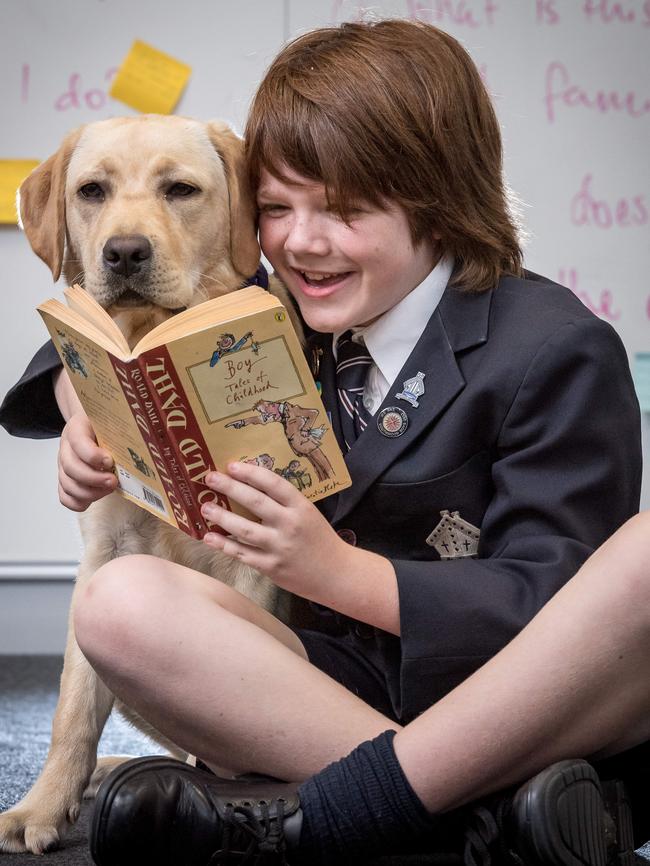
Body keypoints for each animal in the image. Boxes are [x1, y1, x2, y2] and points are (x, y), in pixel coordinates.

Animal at [0, 113, 296, 852]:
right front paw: (44, 804)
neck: (145, 335)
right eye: (91, 191)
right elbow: (72, 705)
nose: (125, 252)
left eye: (180, 190)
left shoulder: (249, 559)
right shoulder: (104, 559)